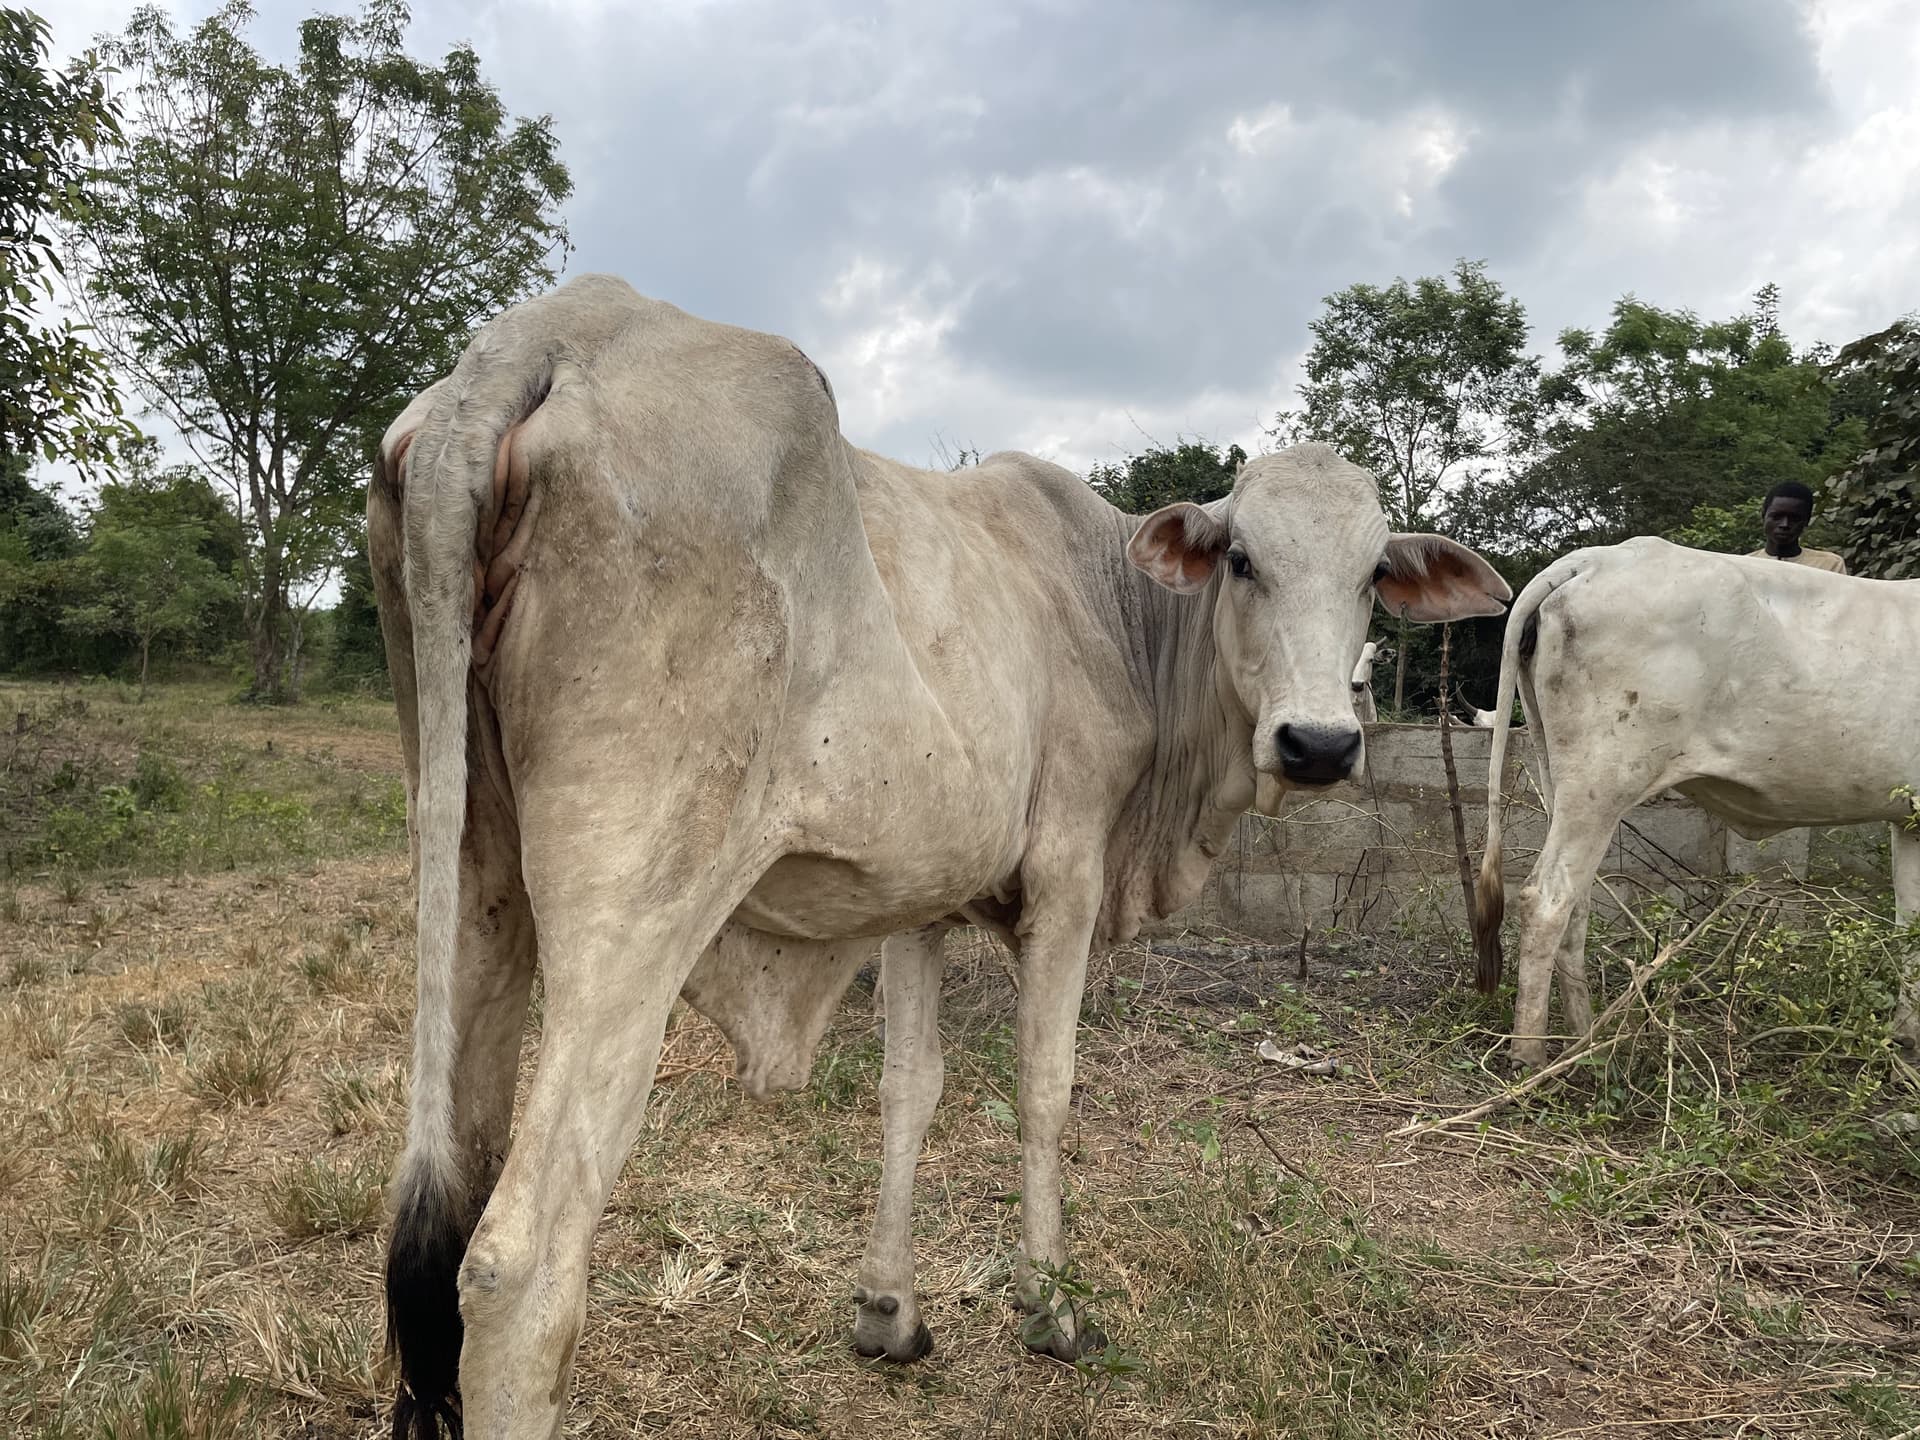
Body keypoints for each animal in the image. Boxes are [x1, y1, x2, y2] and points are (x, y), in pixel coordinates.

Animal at [370, 275, 1512, 1439]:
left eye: (1372, 574)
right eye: (1243, 562)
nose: (1319, 744)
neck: (1120, 612)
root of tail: (551, 334)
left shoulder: (919, 898)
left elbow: (908, 1088)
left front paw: (890, 1313)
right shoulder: (1066, 877)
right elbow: (1045, 1086)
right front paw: (1051, 1310)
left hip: (474, 872)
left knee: (452, 1201)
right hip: (635, 907)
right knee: (516, 1265)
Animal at [1471, 537, 1920, 1069]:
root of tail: (1595, 557)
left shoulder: (1910, 823)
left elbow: (1911, 925)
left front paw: (1906, 1040)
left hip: (1561, 776)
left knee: (1575, 904)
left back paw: (1587, 1047)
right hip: (1601, 781)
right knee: (1546, 898)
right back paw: (1531, 1057)